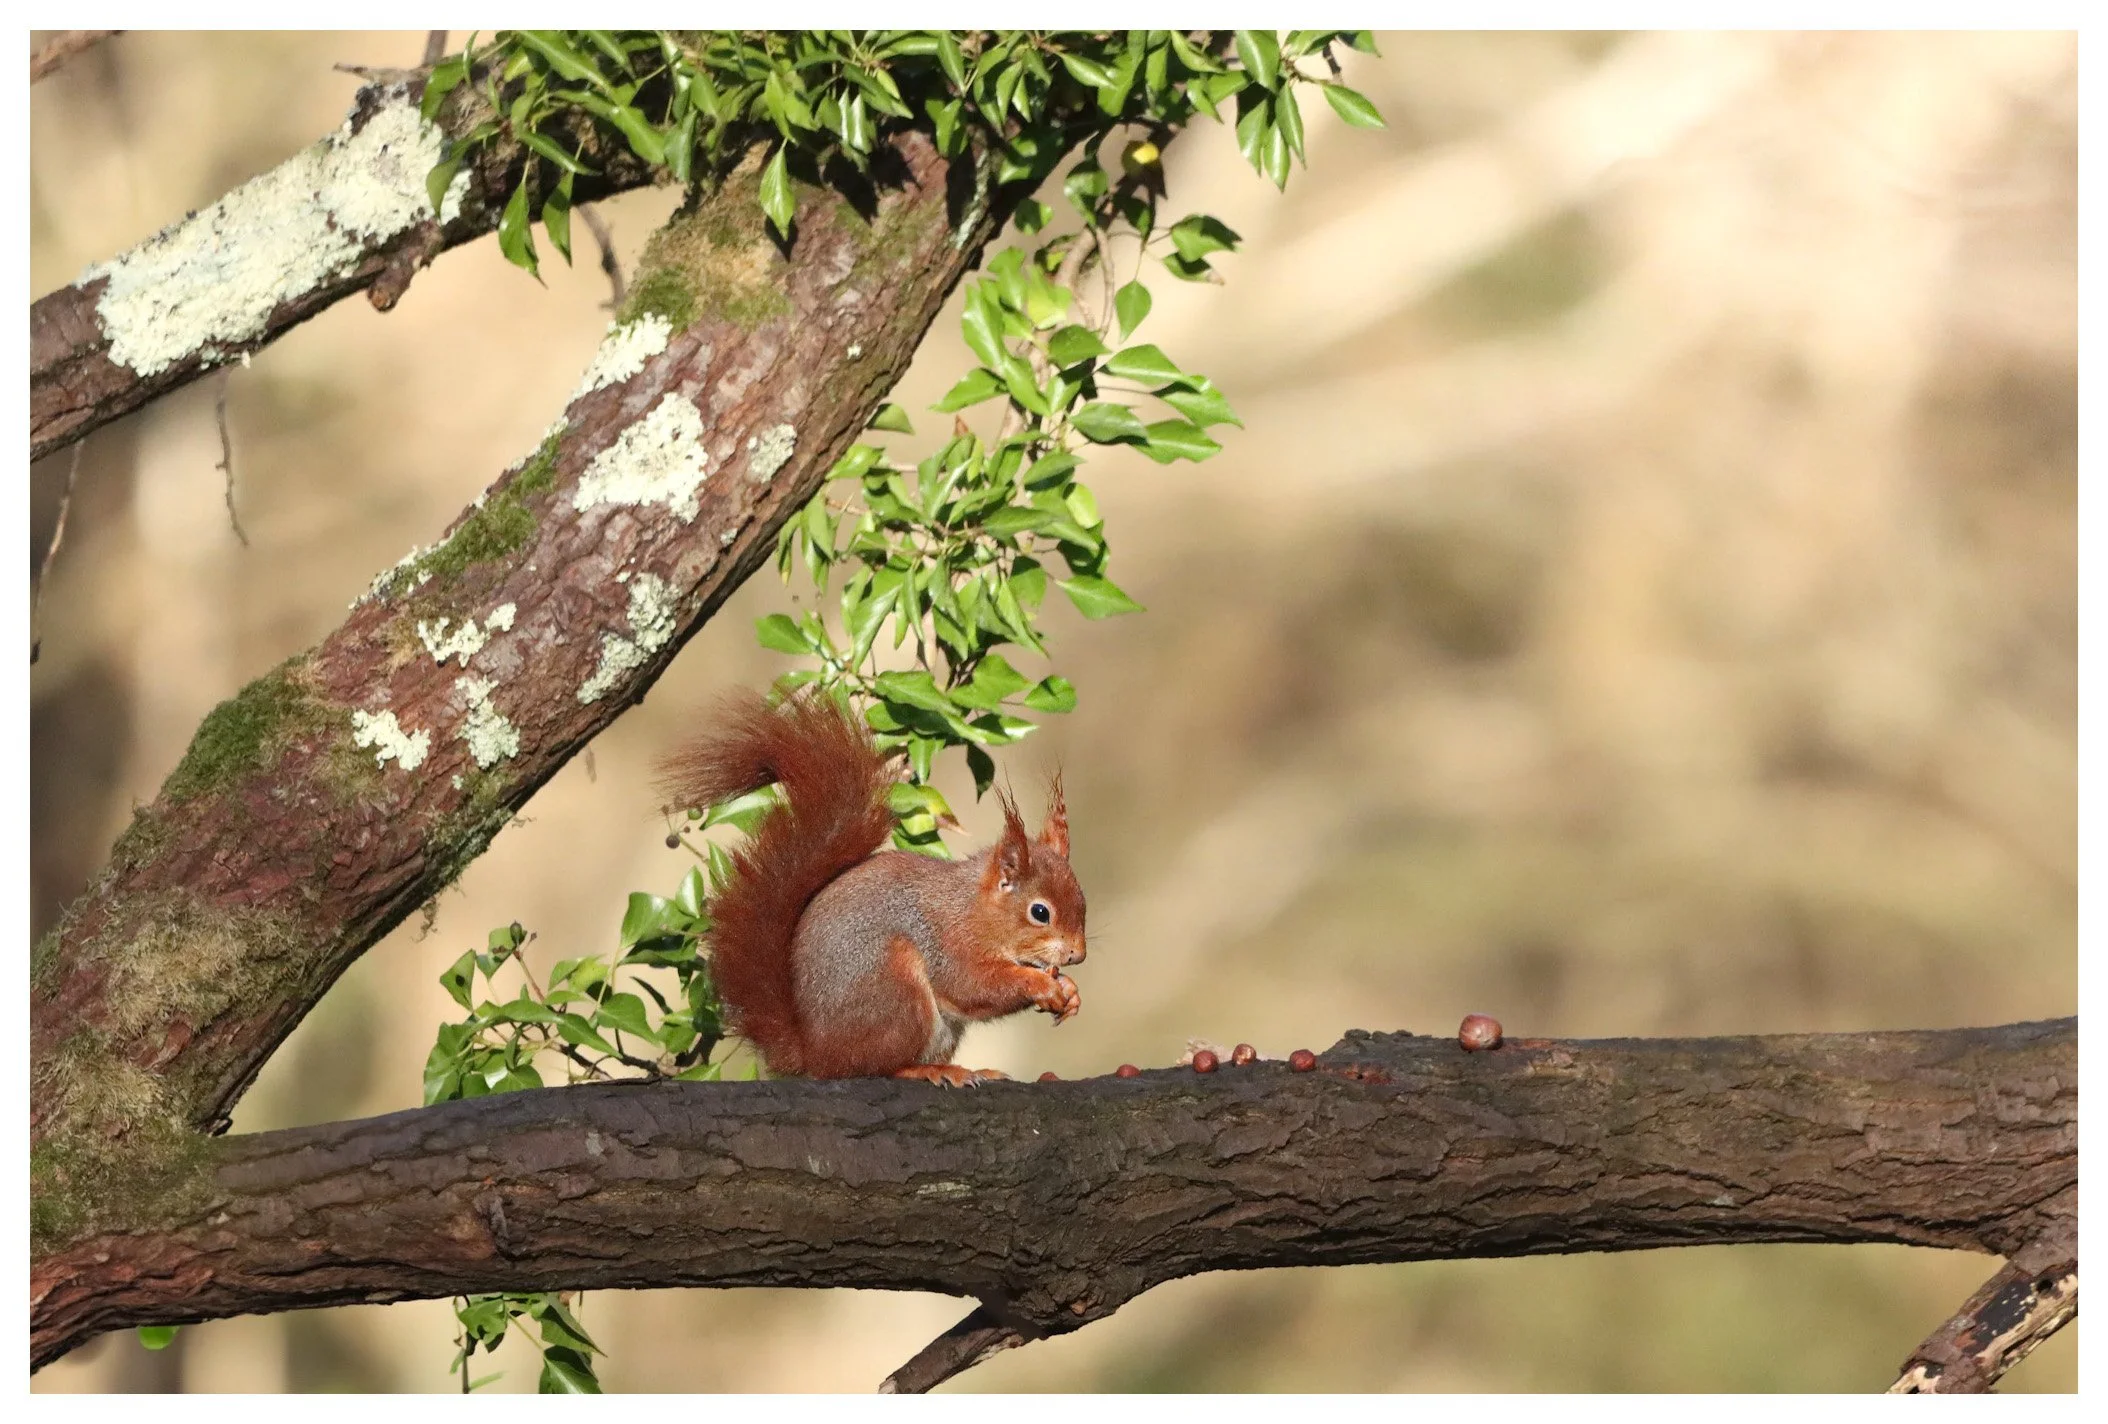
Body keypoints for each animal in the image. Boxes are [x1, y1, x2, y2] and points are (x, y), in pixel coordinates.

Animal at [657, 689, 1086, 1087]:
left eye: (1082, 902)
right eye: (1040, 912)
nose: (1077, 955)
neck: (975, 909)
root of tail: (815, 1053)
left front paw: (1070, 991)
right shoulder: (949, 943)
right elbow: (973, 987)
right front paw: (1038, 984)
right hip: (894, 989)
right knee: (874, 1067)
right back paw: (930, 1070)